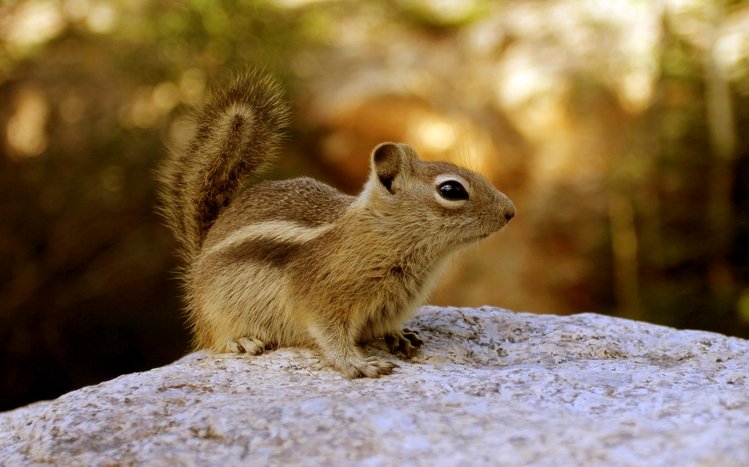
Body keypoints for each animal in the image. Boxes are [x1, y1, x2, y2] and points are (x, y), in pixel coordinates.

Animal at [157, 70, 515, 378]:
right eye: (451, 190)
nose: (510, 211)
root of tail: (199, 257)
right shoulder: (322, 297)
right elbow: (330, 335)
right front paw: (358, 364)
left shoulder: (391, 304)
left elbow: (384, 327)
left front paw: (399, 335)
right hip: (216, 312)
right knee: (214, 339)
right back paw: (241, 340)